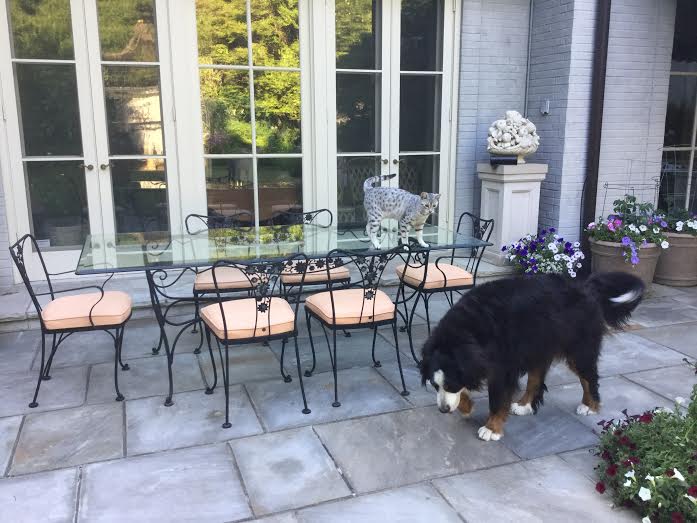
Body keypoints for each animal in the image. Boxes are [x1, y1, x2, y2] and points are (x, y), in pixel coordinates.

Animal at [419, 271, 644, 441]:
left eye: (450, 385)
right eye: (435, 385)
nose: (443, 409)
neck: (467, 331)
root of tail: (585, 286)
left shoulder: (501, 366)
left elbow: (497, 399)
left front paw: (491, 429)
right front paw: (465, 406)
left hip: (578, 348)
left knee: (589, 377)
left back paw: (590, 406)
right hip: (539, 344)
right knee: (536, 379)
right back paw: (523, 405)